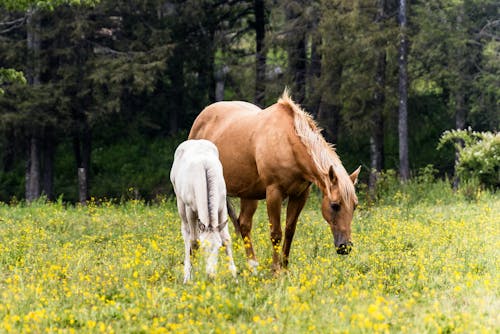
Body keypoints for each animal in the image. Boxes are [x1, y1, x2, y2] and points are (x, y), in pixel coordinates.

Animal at [170, 140, 236, 284]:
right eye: (204, 248)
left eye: (218, 247)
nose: (211, 276)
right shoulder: (190, 209)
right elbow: (194, 241)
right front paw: (189, 277)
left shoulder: (222, 206)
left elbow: (226, 238)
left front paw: (235, 277)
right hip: (180, 202)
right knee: (186, 233)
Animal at [188, 90, 360, 272]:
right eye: (335, 205)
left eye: (354, 205)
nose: (345, 247)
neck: (288, 143)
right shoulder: (274, 193)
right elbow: (276, 234)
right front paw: (276, 270)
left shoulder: (300, 195)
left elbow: (290, 231)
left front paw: (285, 268)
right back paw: (194, 267)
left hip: (248, 194)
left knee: (244, 224)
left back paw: (252, 266)